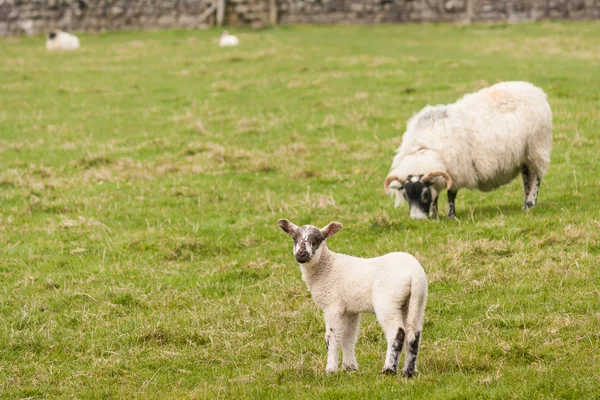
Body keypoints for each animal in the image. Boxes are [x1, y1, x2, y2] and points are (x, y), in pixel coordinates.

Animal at [276, 220, 426, 376]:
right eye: (294, 238)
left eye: (317, 240)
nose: (301, 254)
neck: (327, 268)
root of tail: (415, 273)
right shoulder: (350, 310)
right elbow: (348, 337)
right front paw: (350, 367)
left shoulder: (333, 306)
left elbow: (332, 338)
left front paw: (331, 369)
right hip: (417, 302)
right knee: (414, 335)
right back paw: (408, 371)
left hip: (388, 301)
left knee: (397, 333)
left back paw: (389, 369)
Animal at [384, 80, 552, 220]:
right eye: (406, 196)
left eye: (424, 195)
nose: (416, 219)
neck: (425, 148)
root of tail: (534, 89)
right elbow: (437, 196)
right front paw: (434, 215)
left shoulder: (456, 172)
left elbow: (451, 195)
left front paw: (451, 216)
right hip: (524, 155)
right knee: (527, 176)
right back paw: (525, 203)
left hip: (537, 146)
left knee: (537, 176)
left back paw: (530, 203)